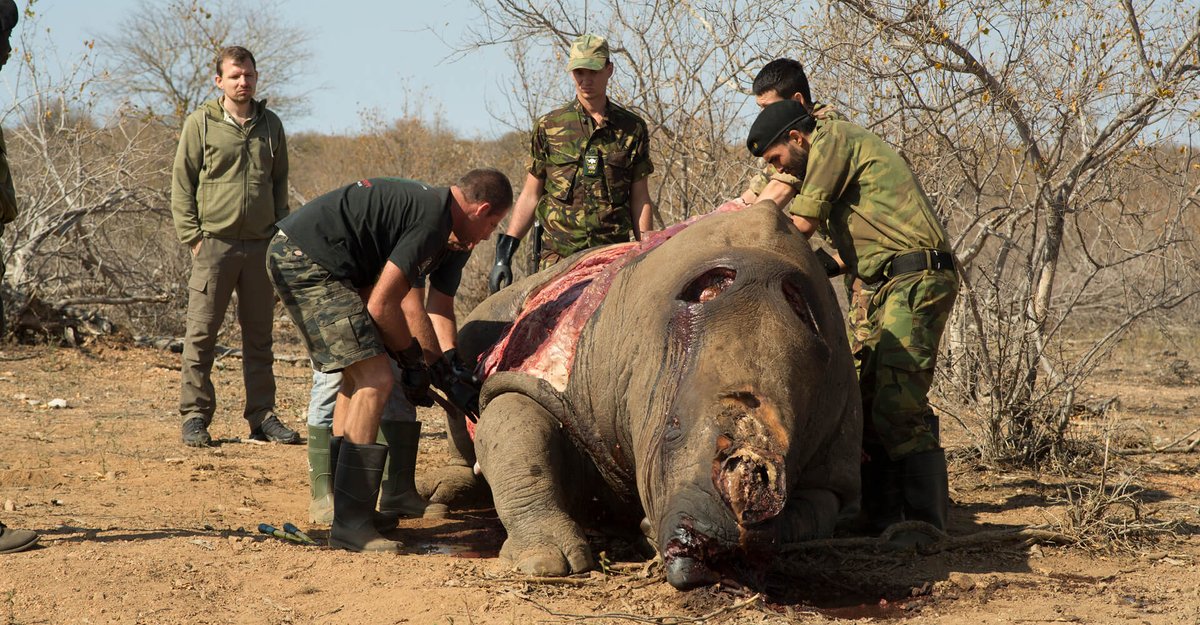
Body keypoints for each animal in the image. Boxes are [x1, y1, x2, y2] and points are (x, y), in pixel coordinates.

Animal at [424, 201, 861, 589]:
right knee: (467, 348)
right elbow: (517, 433)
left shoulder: (833, 454)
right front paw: (546, 564)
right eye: (672, 429)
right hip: (509, 309)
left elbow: (810, 516)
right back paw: (441, 495)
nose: (718, 554)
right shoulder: (548, 380)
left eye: (789, 457)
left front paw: (648, 530)